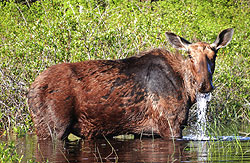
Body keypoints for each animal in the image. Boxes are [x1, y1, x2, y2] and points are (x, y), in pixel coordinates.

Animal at [28, 28, 233, 140]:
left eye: (214, 55)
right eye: (190, 55)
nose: (204, 85)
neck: (186, 91)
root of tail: (30, 90)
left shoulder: (147, 132)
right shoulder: (170, 124)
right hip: (53, 128)